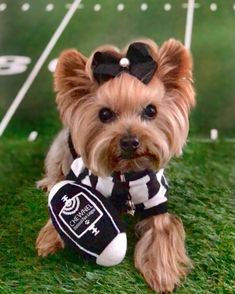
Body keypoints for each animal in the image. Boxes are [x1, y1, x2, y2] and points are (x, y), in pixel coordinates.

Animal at [36, 38, 195, 292]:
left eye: (151, 110)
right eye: (104, 114)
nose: (130, 141)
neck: (126, 174)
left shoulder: (156, 202)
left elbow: (162, 232)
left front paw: (162, 272)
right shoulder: (82, 178)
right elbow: (67, 201)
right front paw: (50, 237)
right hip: (62, 149)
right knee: (56, 168)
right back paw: (48, 182)